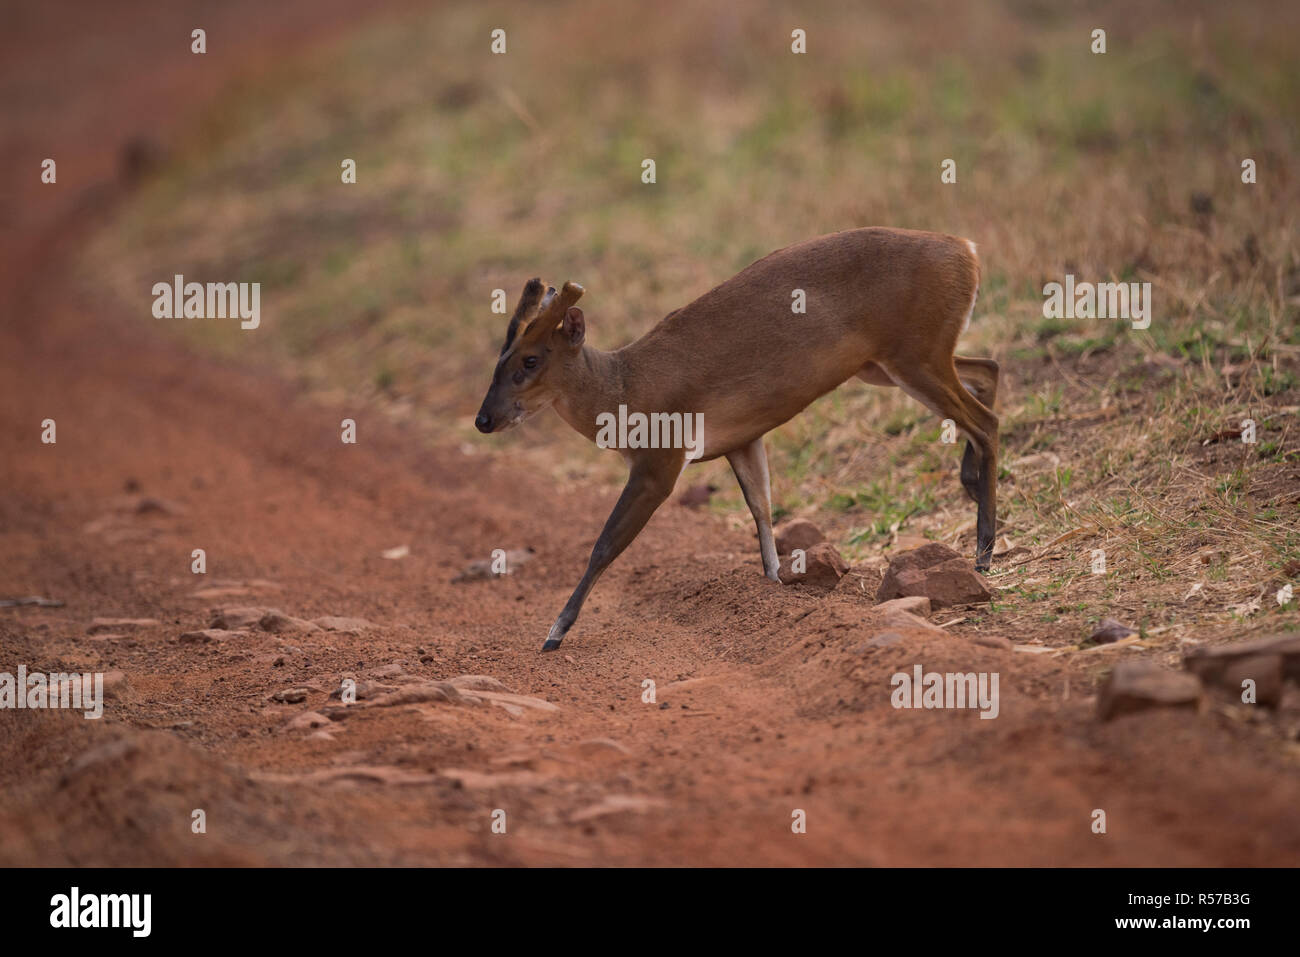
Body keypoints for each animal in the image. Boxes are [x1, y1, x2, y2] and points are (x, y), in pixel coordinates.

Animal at [475, 227, 993, 655]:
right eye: (499, 356)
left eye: (530, 360)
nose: (483, 419)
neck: (623, 389)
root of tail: (967, 251)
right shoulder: (742, 439)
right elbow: (762, 511)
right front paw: (774, 588)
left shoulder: (660, 459)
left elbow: (604, 545)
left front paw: (554, 633)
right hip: (889, 364)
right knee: (987, 371)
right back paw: (970, 489)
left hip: (914, 352)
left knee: (985, 420)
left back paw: (984, 553)